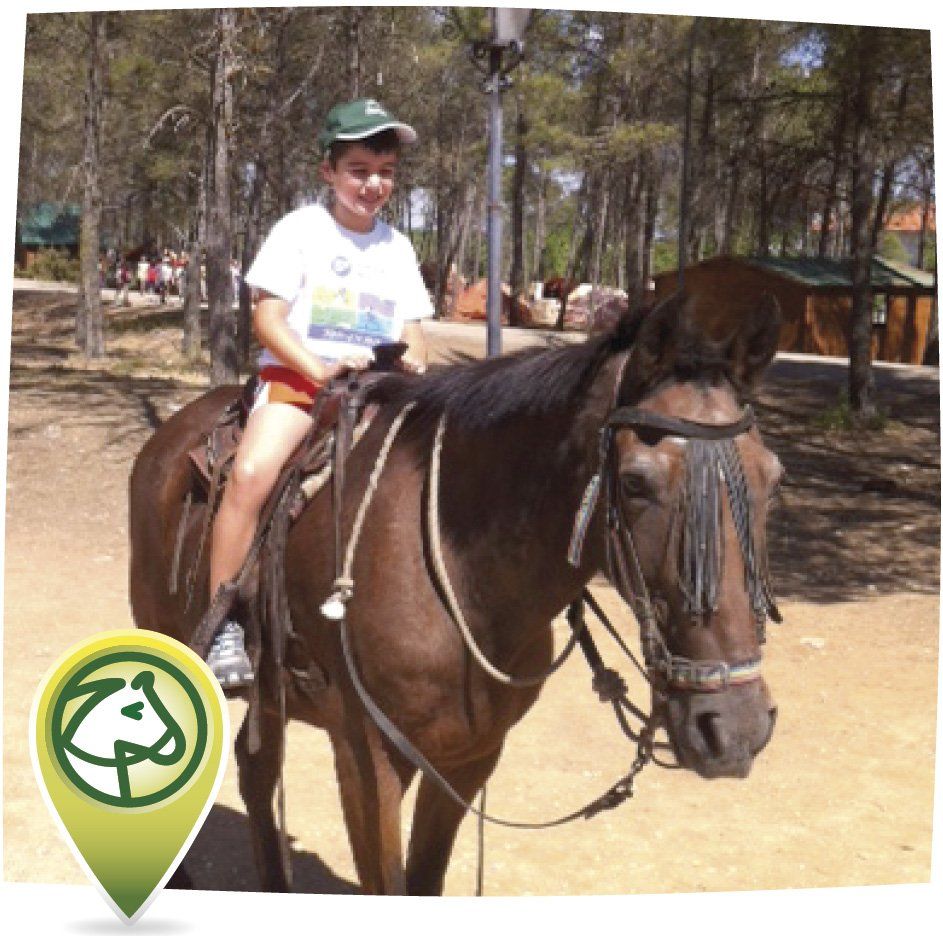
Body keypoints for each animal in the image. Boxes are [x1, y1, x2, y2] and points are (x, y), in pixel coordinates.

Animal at [128, 291, 783, 895]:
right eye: (637, 482)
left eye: (773, 478)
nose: (736, 729)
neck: (461, 576)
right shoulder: (369, 759)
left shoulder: (469, 758)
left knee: (257, 764)